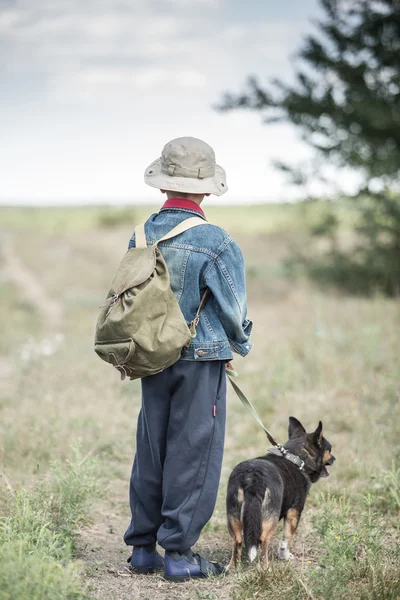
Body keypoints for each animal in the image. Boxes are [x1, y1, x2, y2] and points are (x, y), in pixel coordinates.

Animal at [227, 414, 336, 568]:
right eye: (329, 450)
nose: (335, 459)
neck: (297, 458)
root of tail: (252, 477)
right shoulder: (294, 513)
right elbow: (286, 539)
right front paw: (285, 556)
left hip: (233, 515)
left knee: (237, 540)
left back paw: (231, 567)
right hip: (269, 520)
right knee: (263, 540)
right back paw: (265, 568)